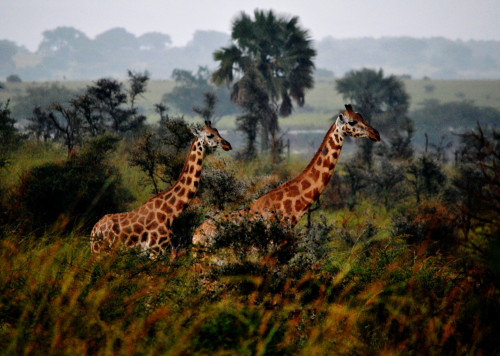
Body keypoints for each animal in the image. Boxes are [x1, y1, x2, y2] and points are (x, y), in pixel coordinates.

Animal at [92, 120, 232, 256]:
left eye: (217, 132)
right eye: (210, 135)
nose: (228, 145)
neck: (170, 213)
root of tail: (94, 231)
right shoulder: (156, 250)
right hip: (101, 253)